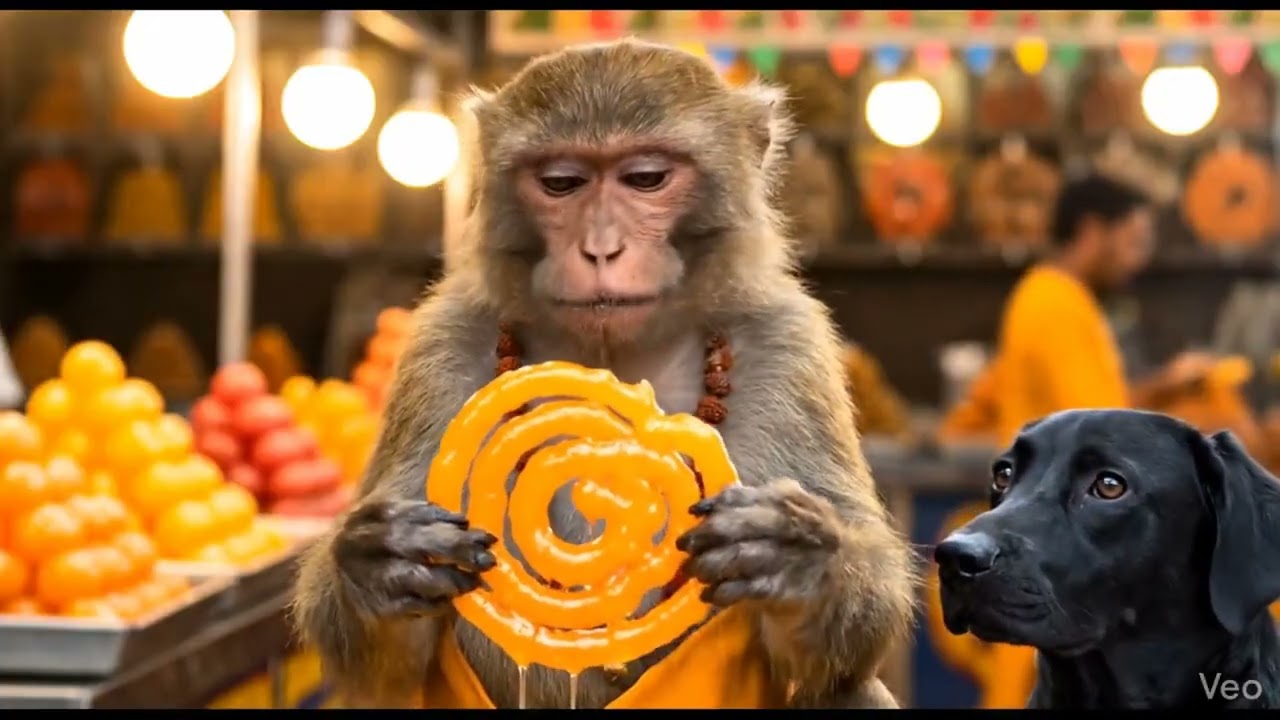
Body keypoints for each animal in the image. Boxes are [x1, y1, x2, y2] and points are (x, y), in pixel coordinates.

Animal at [292, 38, 916, 710]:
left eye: (645, 179)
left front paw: (800, 557)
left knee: (849, 690)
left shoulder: (791, 344)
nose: (600, 248)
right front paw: (377, 564)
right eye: (561, 184)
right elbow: (386, 667)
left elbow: (859, 625)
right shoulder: (438, 345)